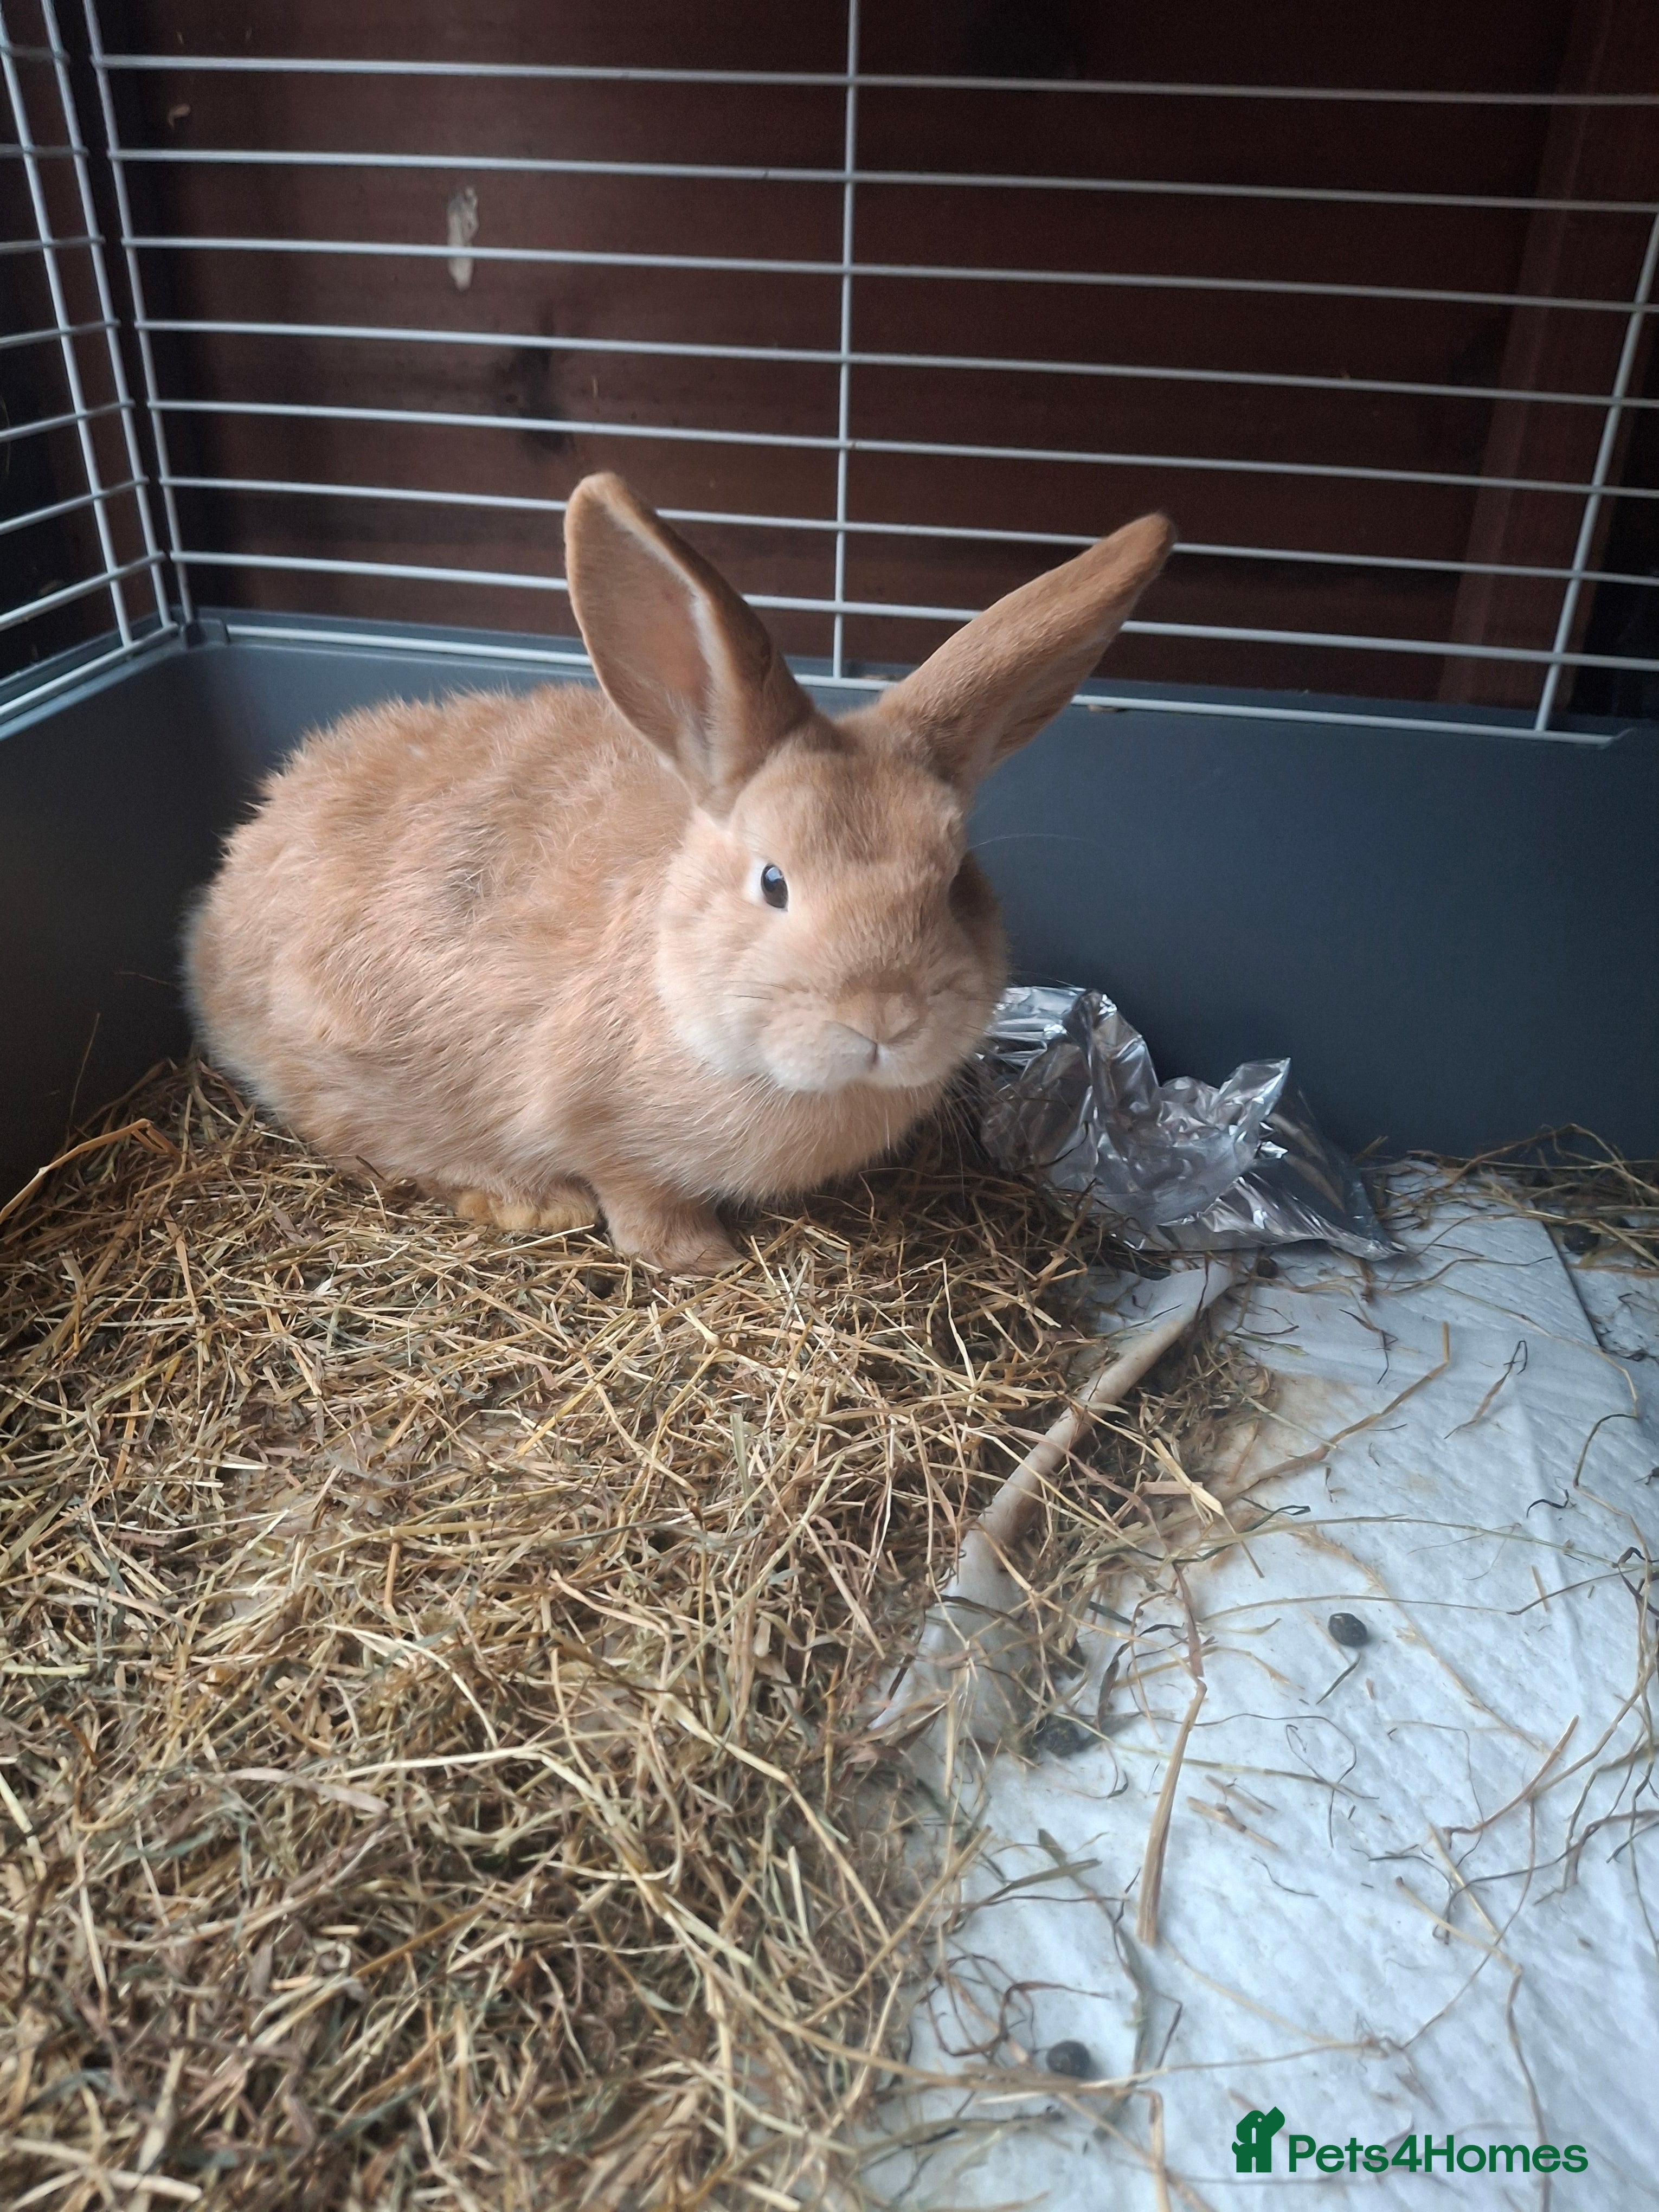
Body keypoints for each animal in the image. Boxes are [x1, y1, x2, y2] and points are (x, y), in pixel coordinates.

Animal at [185, 474, 1173, 1274]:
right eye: (773, 882)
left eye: (954, 878)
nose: (884, 1016)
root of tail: (223, 897)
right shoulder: (597, 1125)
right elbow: (637, 1195)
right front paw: (702, 1260)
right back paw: (528, 1201)